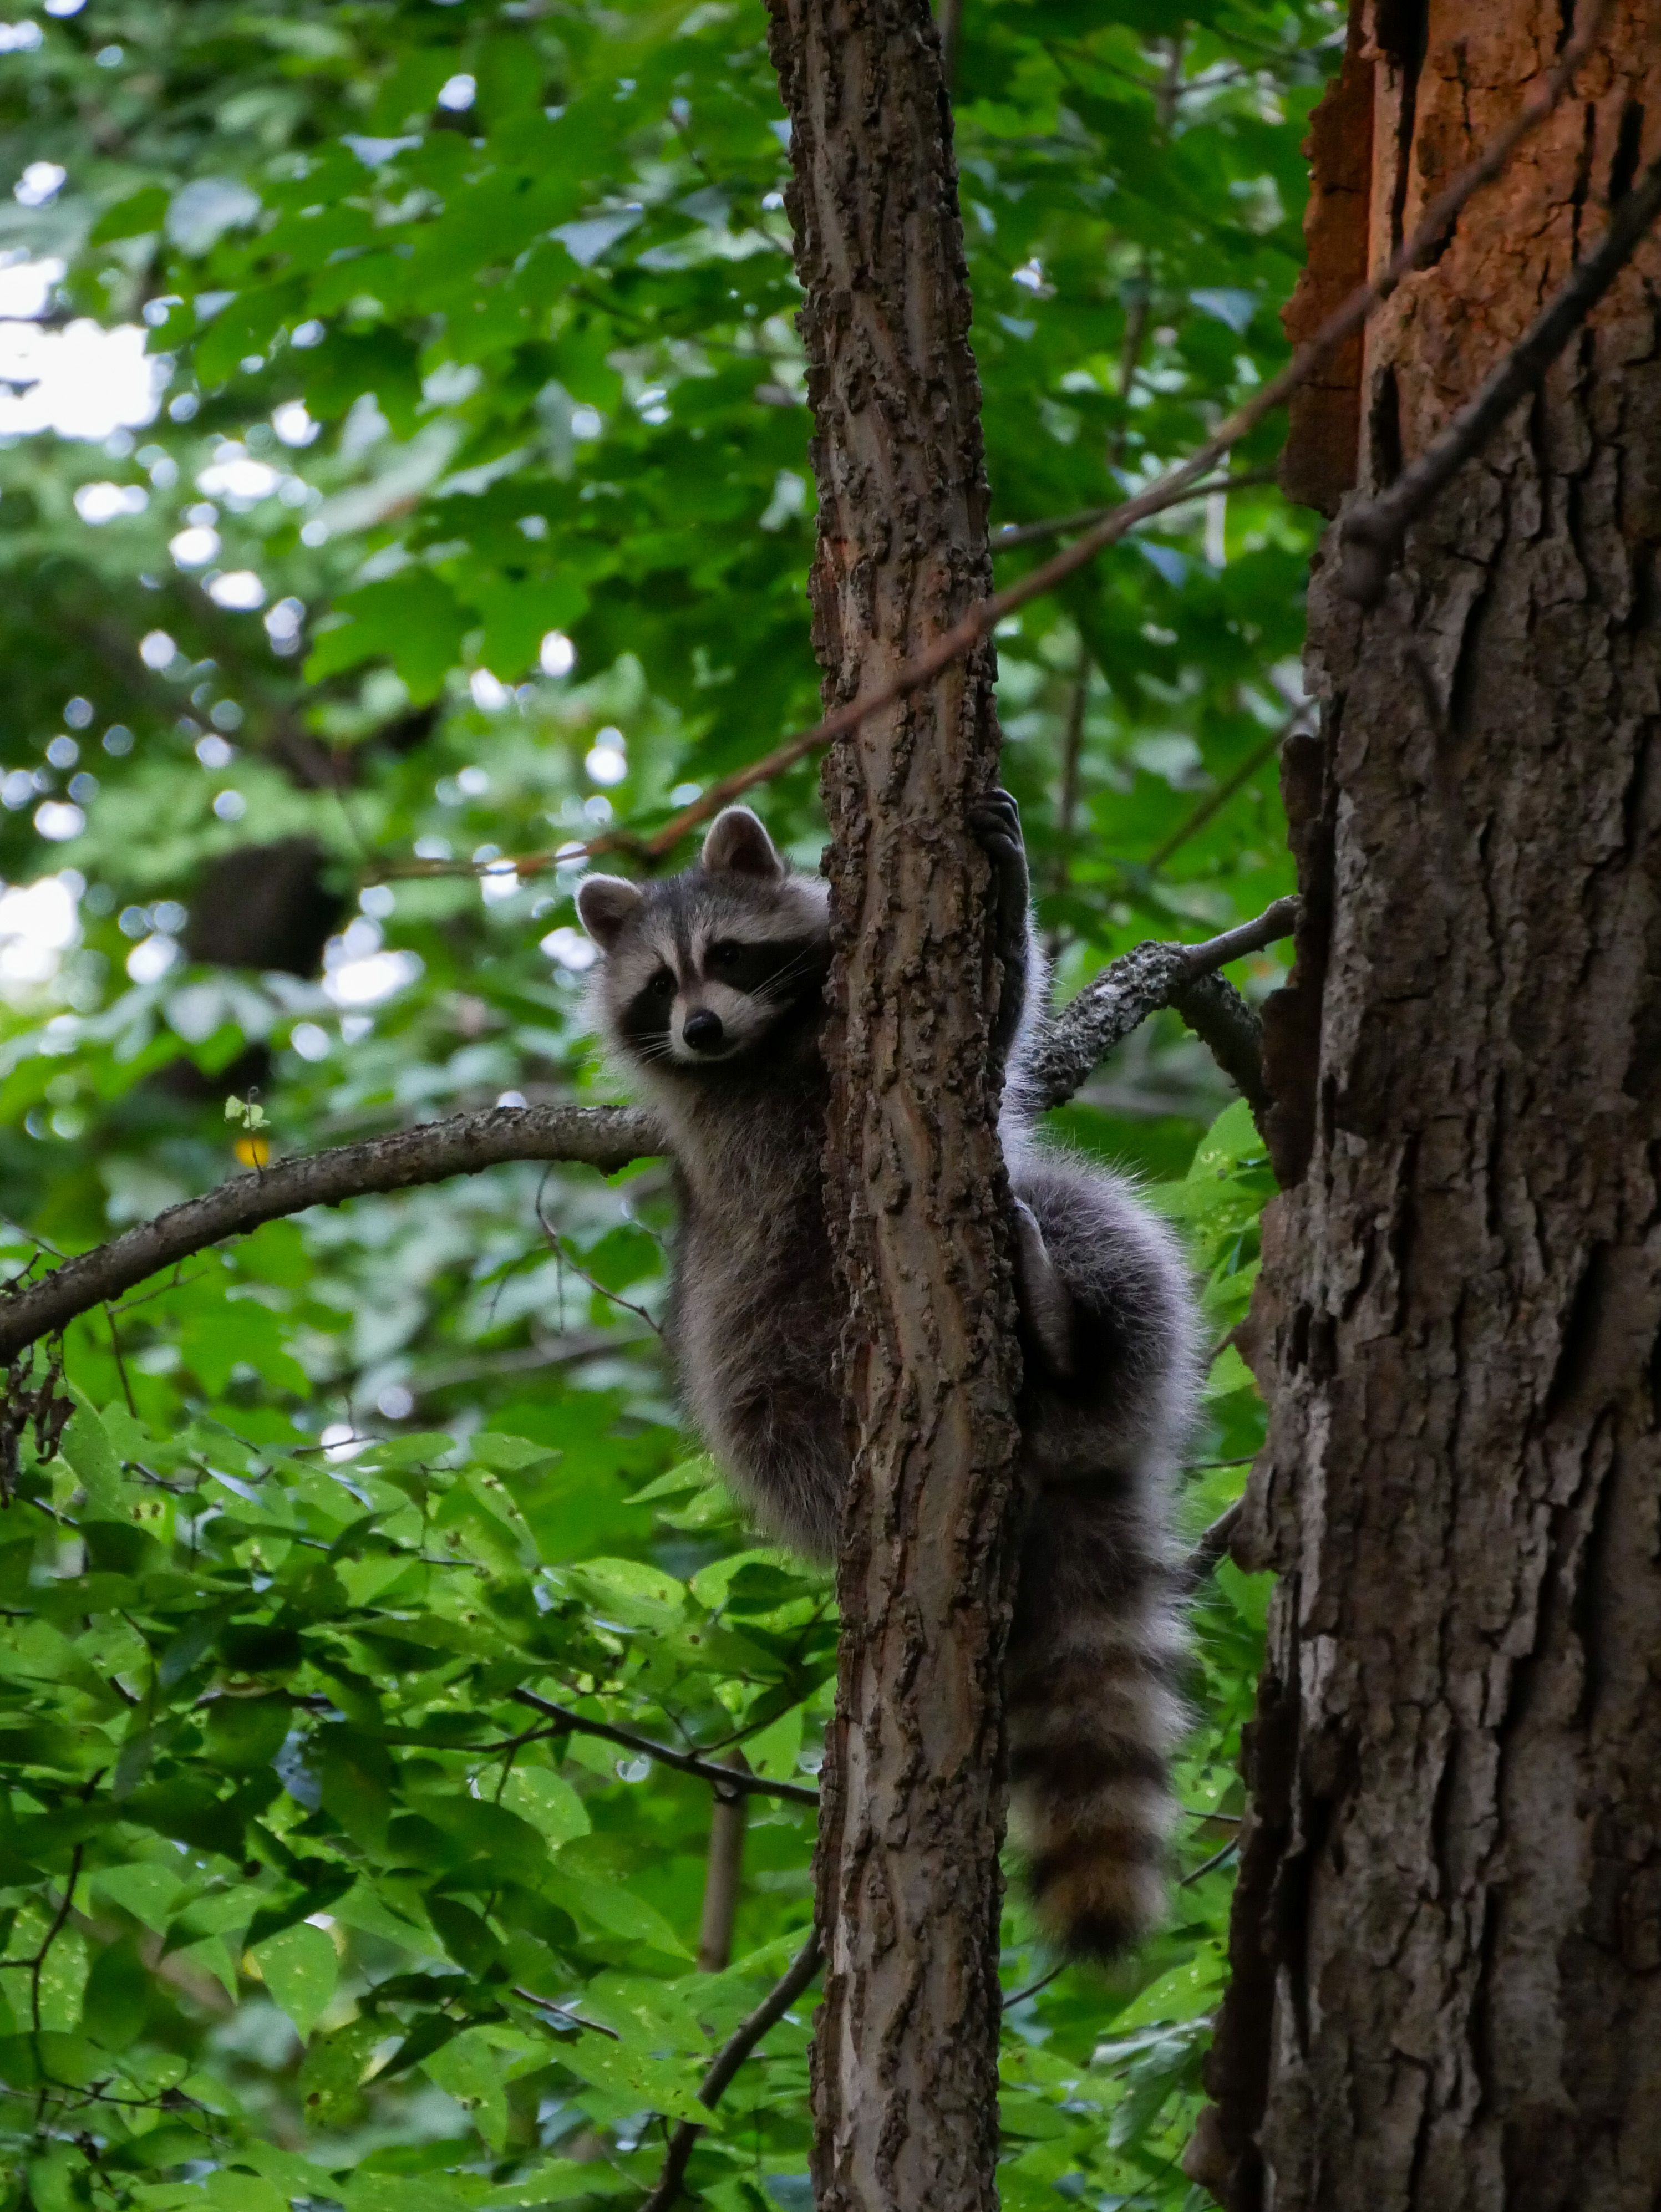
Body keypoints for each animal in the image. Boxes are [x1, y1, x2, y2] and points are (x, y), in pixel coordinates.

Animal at [576, 796, 1200, 1960]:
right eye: (659, 985)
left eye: (727, 957)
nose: (701, 1030)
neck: (767, 1040)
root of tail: (1056, 1462)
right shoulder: (739, 1135)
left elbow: (996, 1035)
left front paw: (1008, 889)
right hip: (768, 1376)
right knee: (769, 1414)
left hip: (1075, 1272)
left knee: (1092, 1216)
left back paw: (1066, 1332)